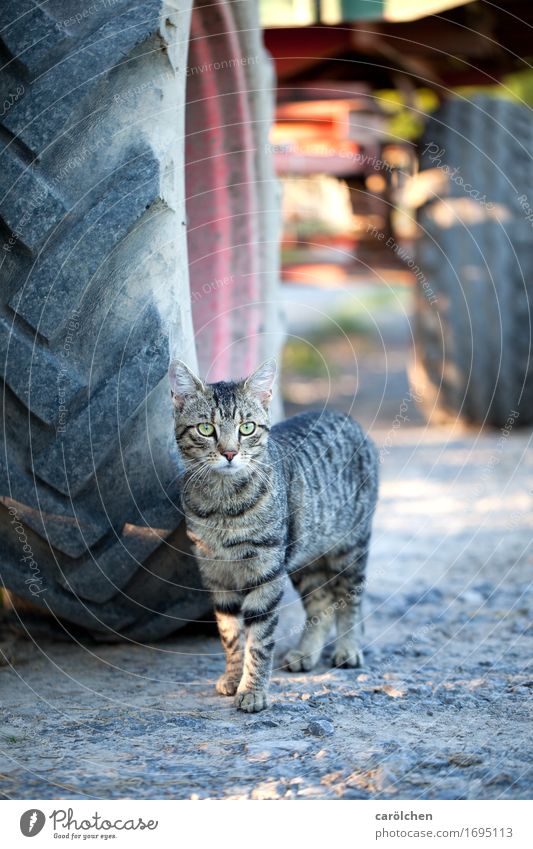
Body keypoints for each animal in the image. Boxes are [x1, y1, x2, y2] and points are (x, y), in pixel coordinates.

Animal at [168, 358, 376, 708]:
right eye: (206, 429)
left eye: (247, 428)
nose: (229, 453)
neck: (223, 505)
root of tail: (344, 416)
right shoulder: (216, 575)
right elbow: (230, 634)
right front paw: (233, 677)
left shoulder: (266, 572)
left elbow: (259, 640)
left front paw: (252, 691)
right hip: (304, 557)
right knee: (320, 603)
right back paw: (306, 652)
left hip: (350, 548)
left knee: (351, 599)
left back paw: (348, 648)